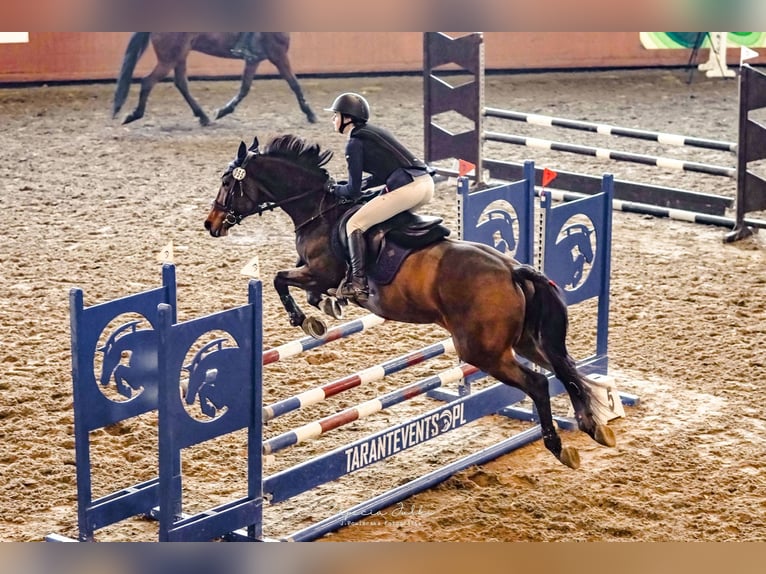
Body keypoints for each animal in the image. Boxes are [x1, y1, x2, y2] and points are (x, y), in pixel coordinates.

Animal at [112, 33, 317, 126]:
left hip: (179, 56)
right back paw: (134, 115)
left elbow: (245, 88)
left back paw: (203, 116)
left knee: (180, 83)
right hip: (170, 58)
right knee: (148, 81)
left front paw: (224, 111)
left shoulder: (254, 59)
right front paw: (310, 113)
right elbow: (294, 84)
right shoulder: (278, 55)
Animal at [203, 134, 617, 470]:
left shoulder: (319, 271)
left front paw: (306, 319)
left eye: (227, 182)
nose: (211, 224)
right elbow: (304, 288)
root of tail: (512, 269)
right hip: (525, 342)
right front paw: (324, 308)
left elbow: (280, 279)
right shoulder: (315, 274)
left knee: (538, 383)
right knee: (565, 371)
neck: (319, 211)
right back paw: (593, 426)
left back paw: (560, 447)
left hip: (482, 351)